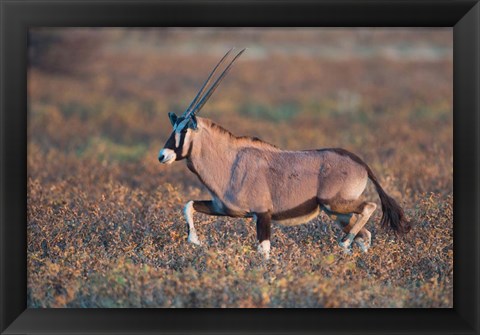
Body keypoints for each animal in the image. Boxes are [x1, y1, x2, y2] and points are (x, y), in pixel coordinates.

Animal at [159, 49, 410, 260]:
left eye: (184, 130)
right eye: (173, 128)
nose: (162, 155)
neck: (230, 162)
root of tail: (360, 163)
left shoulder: (263, 214)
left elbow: (263, 250)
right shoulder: (223, 209)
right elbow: (188, 205)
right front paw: (194, 240)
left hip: (337, 204)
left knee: (369, 208)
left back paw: (344, 244)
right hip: (338, 213)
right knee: (365, 235)